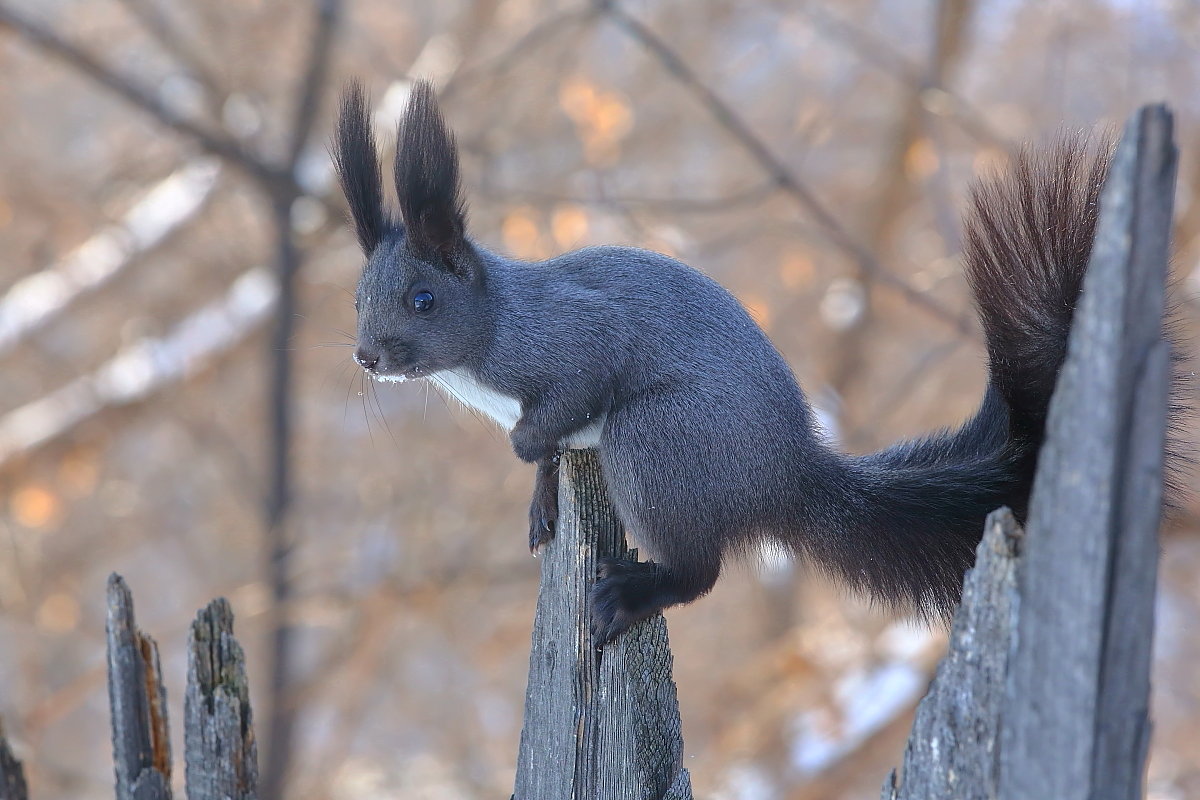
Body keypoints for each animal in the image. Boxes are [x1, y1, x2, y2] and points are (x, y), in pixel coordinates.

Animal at [336, 81, 1171, 642]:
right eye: (356, 298)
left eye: (422, 300)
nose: (367, 355)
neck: (491, 335)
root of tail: (787, 476)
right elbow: (551, 456)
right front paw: (541, 499)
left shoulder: (572, 341)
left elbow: (568, 398)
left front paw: (525, 447)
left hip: (661, 441)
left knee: (700, 571)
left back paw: (635, 594)